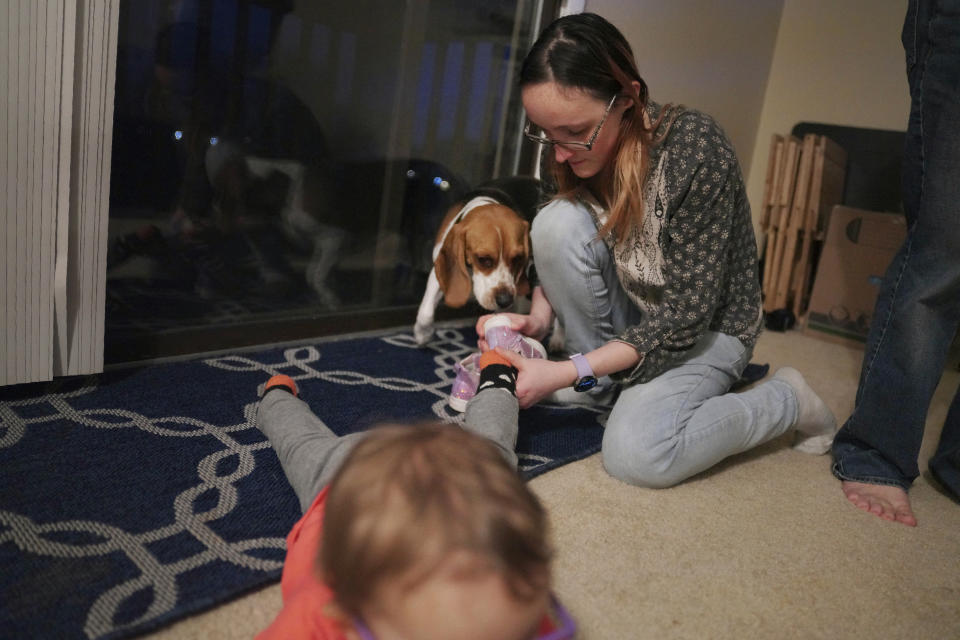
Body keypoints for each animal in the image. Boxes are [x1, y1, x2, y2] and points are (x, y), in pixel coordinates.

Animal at [414, 176, 544, 344]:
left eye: (517, 259)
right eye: (483, 259)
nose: (505, 301)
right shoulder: (438, 268)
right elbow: (426, 311)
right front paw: (423, 333)